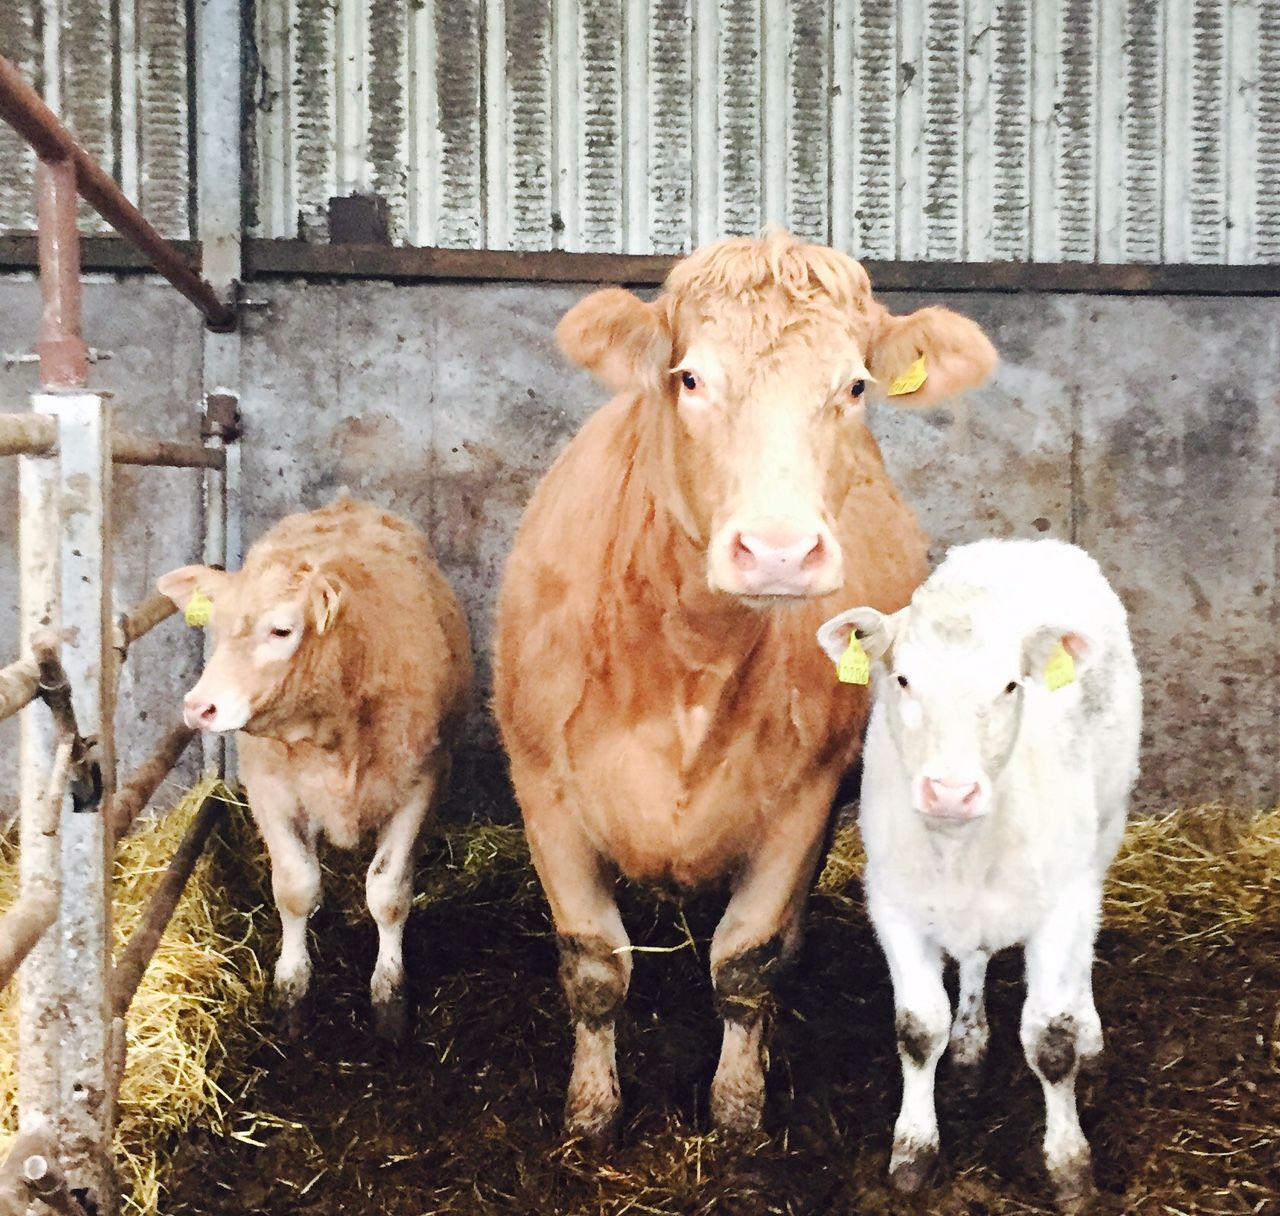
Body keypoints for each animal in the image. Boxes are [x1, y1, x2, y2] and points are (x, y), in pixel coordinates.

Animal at [157, 496, 472, 1043]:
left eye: (281, 630)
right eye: (215, 628)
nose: (200, 707)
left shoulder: (422, 782)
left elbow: (388, 892)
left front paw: (390, 995)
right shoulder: (268, 789)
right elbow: (296, 887)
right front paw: (292, 991)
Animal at [493, 229, 998, 1141]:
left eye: (855, 385)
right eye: (690, 377)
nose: (777, 552)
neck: (686, 657)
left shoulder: (802, 798)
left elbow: (745, 961)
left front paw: (736, 1108)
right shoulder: (542, 787)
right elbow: (594, 966)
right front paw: (591, 1112)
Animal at [816, 538, 1142, 1211]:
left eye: (1011, 684)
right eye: (903, 678)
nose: (950, 791)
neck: (961, 850)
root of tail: (1028, 543)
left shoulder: (1061, 905)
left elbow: (1050, 1042)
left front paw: (1070, 1166)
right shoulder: (893, 904)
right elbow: (918, 1029)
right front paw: (913, 1150)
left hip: (1107, 823)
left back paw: (1090, 1029)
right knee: (972, 958)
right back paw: (969, 1040)